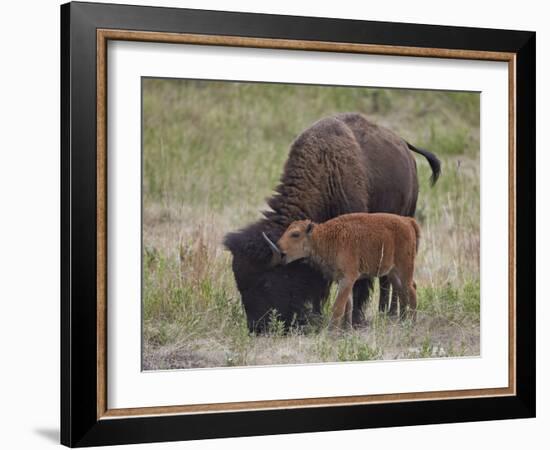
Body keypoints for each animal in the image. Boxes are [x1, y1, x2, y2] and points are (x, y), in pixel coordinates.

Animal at [274, 213, 420, 328]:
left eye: (295, 234)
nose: (279, 248)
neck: (325, 237)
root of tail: (408, 221)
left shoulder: (347, 279)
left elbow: (338, 307)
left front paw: (332, 331)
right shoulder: (342, 280)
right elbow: (348, 306)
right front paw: (347, 329)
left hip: (404, 269)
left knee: (411, 290)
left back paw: (412, 323)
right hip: (393, 273)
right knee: (403, 293)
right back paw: (402, 321)